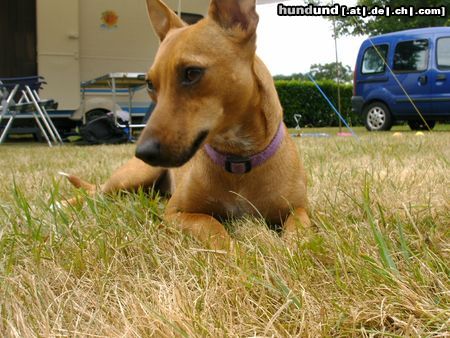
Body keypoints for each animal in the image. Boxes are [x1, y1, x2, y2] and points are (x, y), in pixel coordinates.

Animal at [64, 0, 310, 248]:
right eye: (150, 84)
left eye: (192, 73)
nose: (143, 152)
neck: (238, 160)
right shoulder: (176, 213)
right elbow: (211, 225)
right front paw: (233, 252)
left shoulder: (299, 210)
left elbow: (298, 233)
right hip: (130, 177)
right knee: (96, 192)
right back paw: (63, 204)